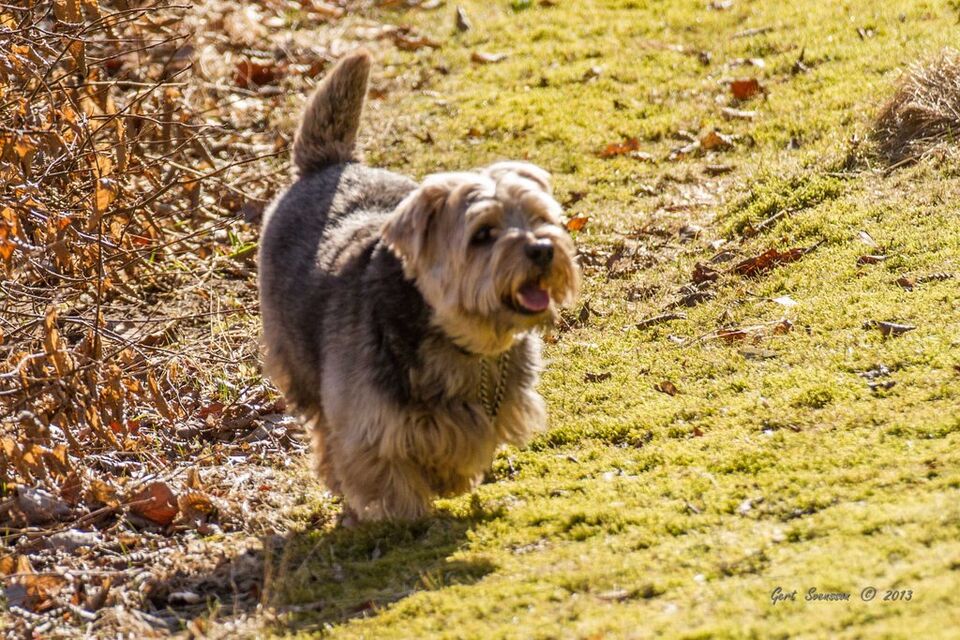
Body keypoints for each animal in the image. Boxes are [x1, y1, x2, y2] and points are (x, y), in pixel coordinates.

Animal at [258, 49, 580, 523]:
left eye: (539, 218)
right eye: (483, 234)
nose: (542, 249)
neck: (463, 342)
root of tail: (333, 164)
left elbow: (461, 448)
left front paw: (450, 478)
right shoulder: (368, 424)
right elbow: (391, 476)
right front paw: (409, 513)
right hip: (299, 362)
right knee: (323, 433)